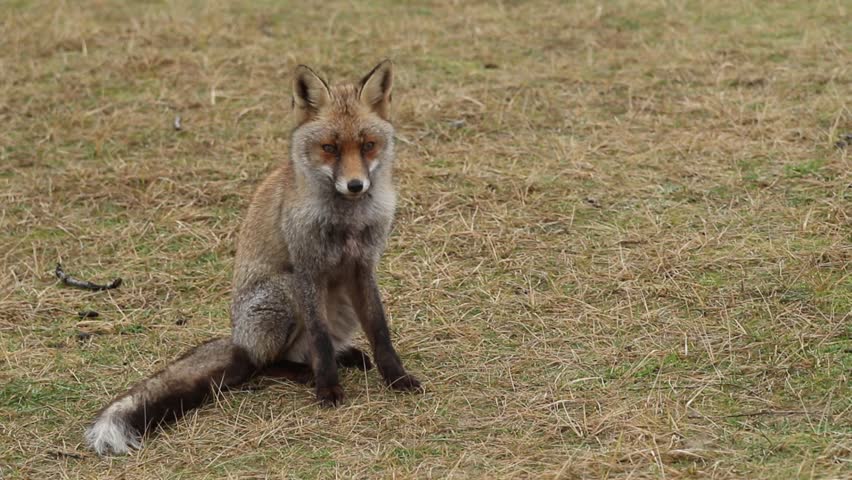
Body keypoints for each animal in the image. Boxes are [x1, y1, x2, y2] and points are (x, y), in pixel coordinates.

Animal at [85, 60, 422, 456]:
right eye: (329, 148)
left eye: (368, 145)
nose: (356, 185)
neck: (347, 222)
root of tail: (238, 338)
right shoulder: (307, 270)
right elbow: (321, 339)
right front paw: (327, 388)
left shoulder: (362, 267)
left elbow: (380, 330)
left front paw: (397, 378)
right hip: (285, 290)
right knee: (268, 363)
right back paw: (306, 373)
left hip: (339, 303)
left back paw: (348, 357)